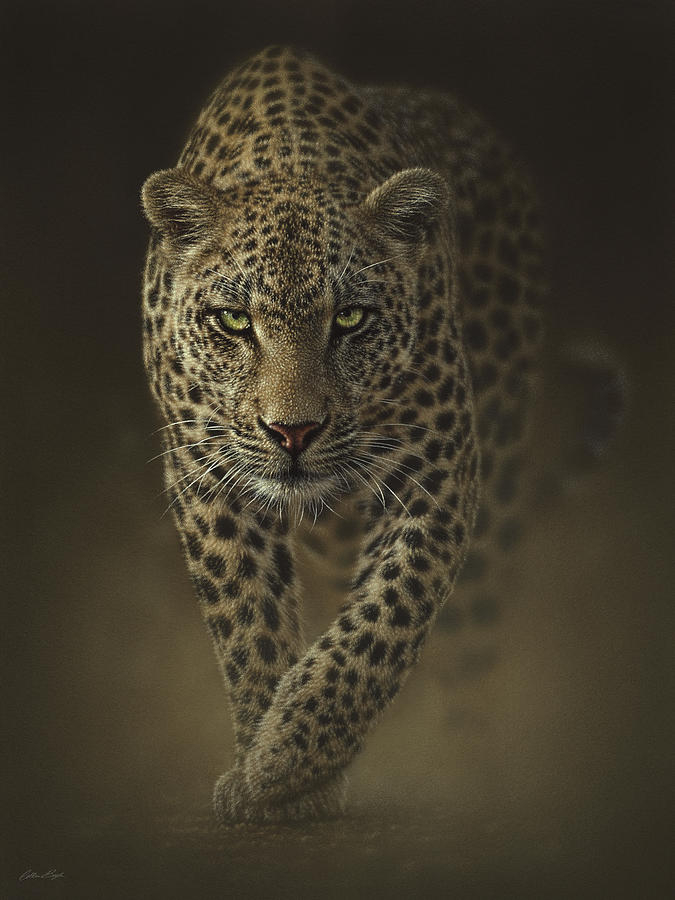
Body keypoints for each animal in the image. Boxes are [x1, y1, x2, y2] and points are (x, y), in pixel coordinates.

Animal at [140, 44, 548, 824]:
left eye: (351, 318)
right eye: (233, 321)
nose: (292, 433)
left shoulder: (438, 468)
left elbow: (386, 620)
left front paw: (289, 761)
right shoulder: (204, 474)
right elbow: (247, 620)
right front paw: (269, 770)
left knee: (476, 624)